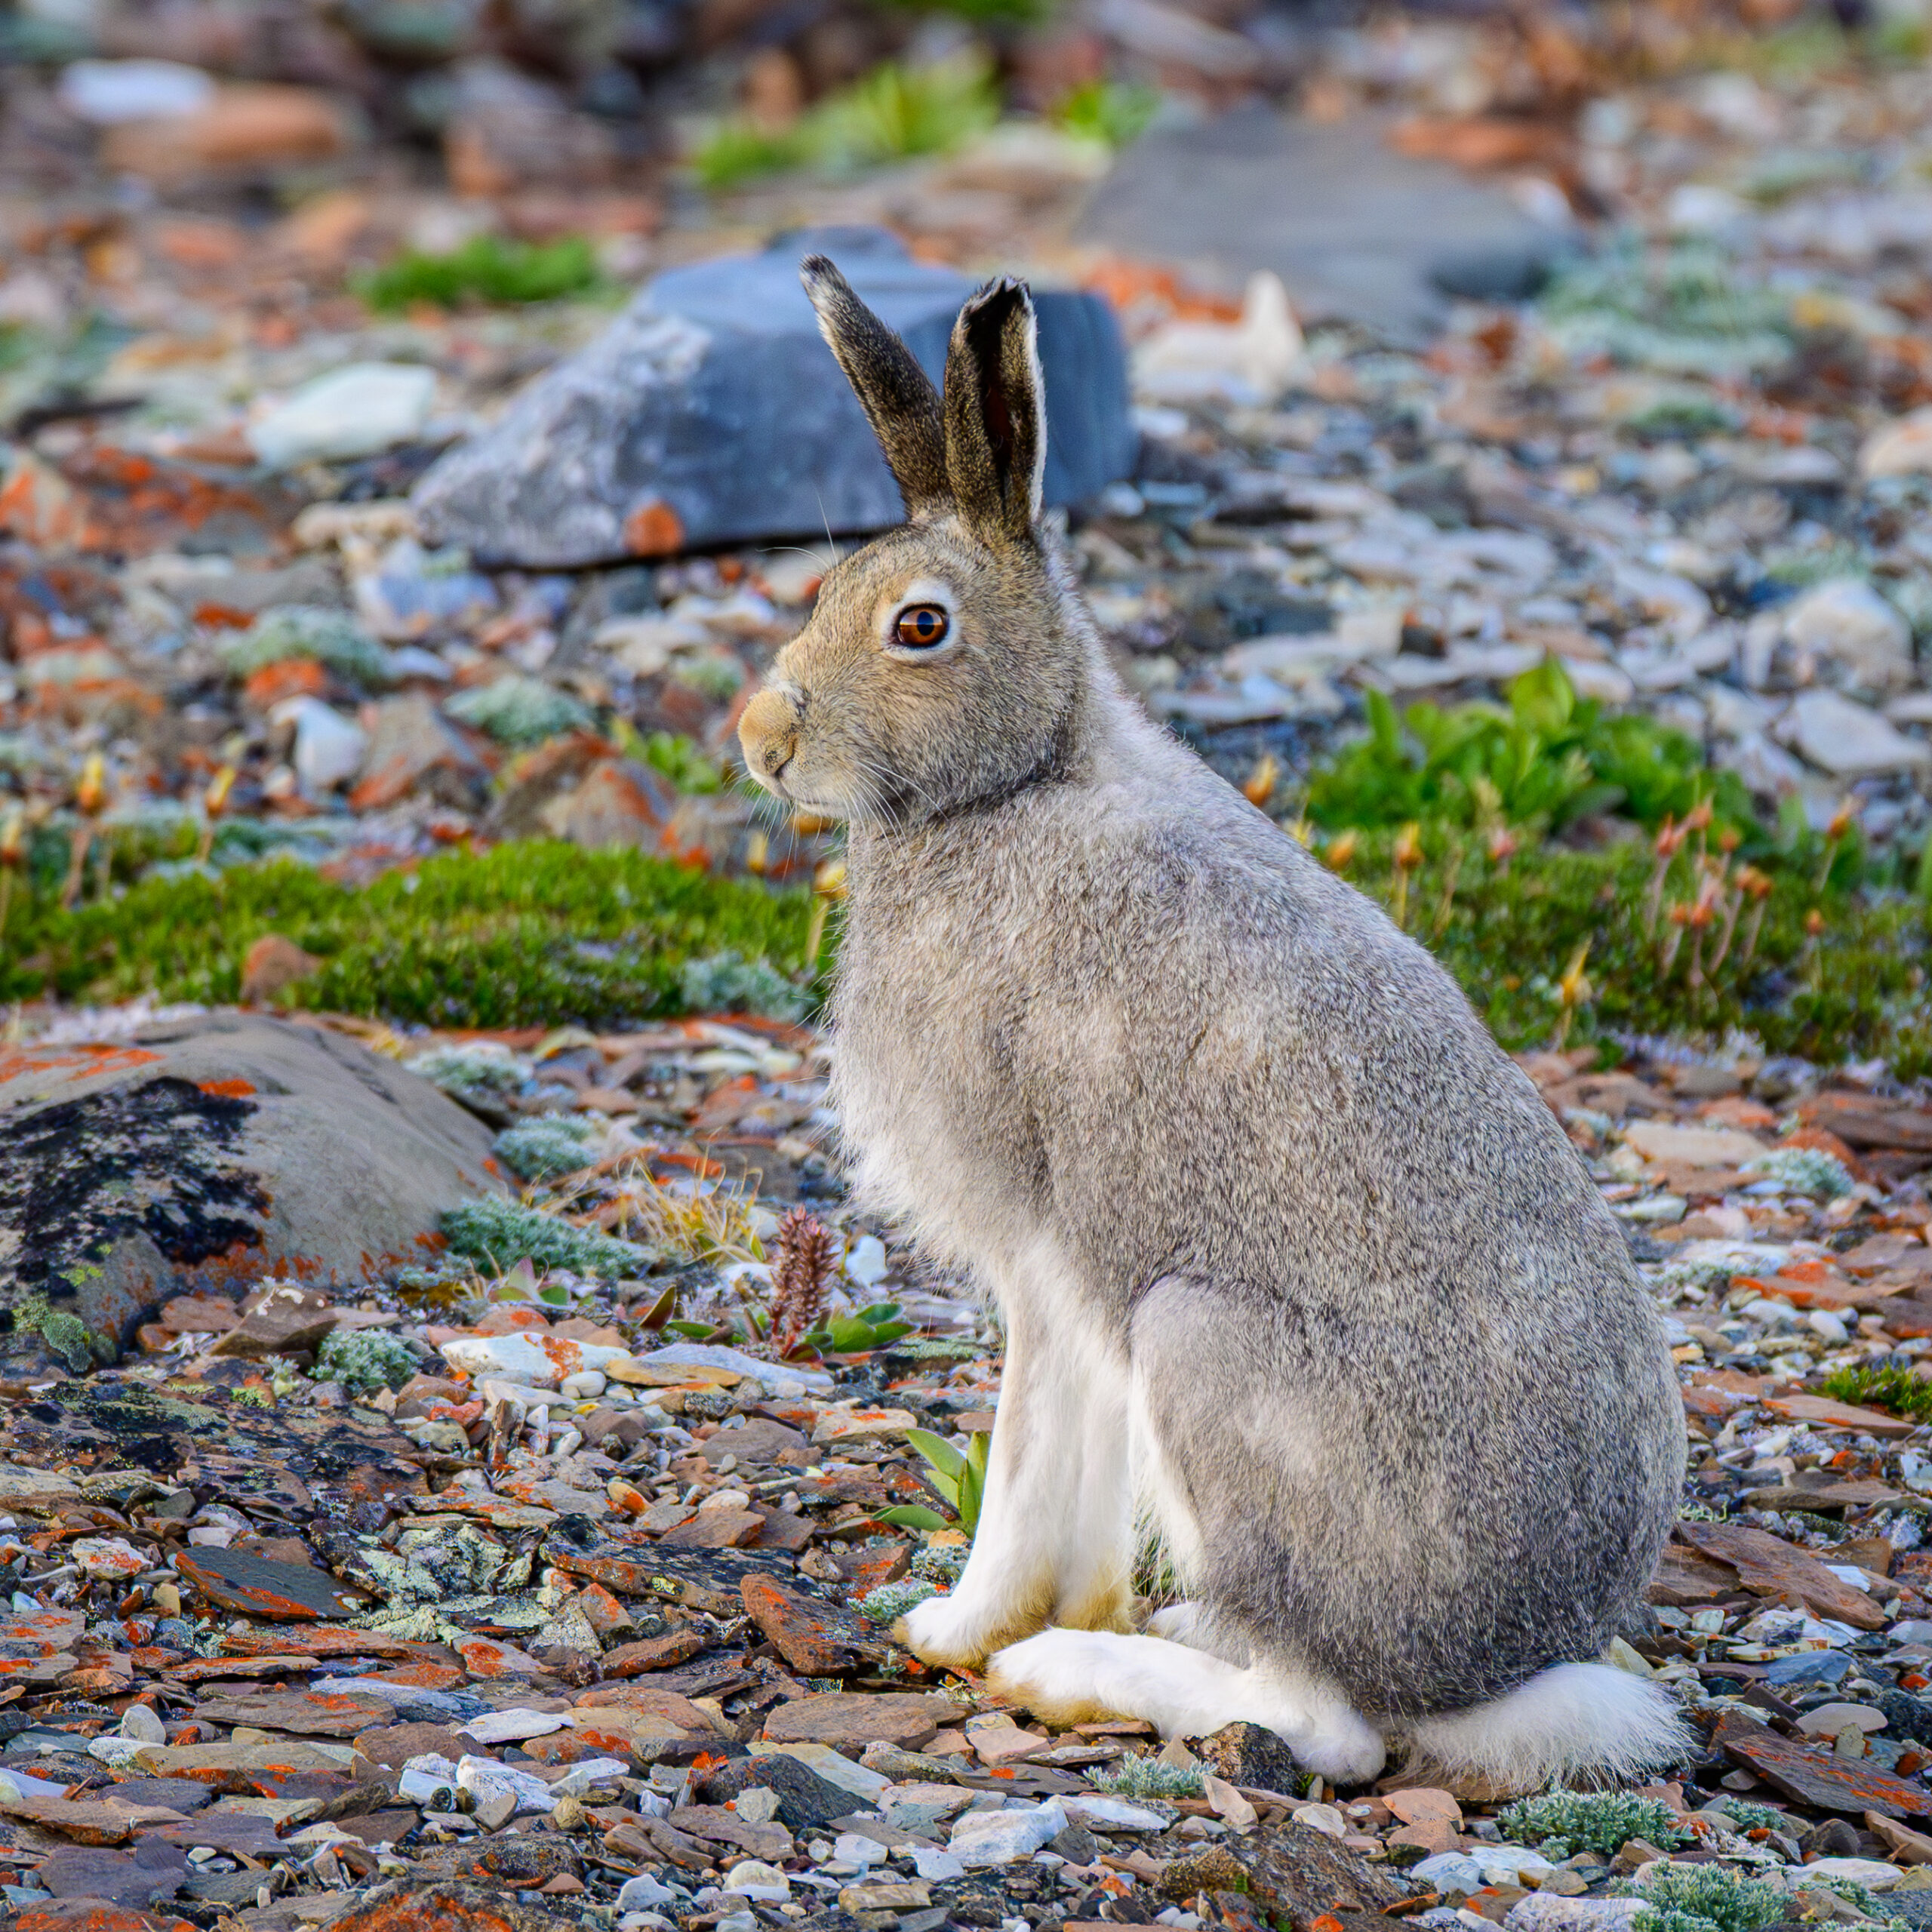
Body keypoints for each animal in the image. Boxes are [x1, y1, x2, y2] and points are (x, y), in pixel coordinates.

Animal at [737, 254, 1689, 1791]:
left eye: (919, 626)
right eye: (820, 586)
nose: (762, 742)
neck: (1023, 778)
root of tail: (1498, 1672)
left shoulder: (1048, 1255)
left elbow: (1026, 1457)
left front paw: (956, 1630)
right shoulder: (1070, 1293)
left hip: (1201, 1352)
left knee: (1333, 1726)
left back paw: (1084, 1676)